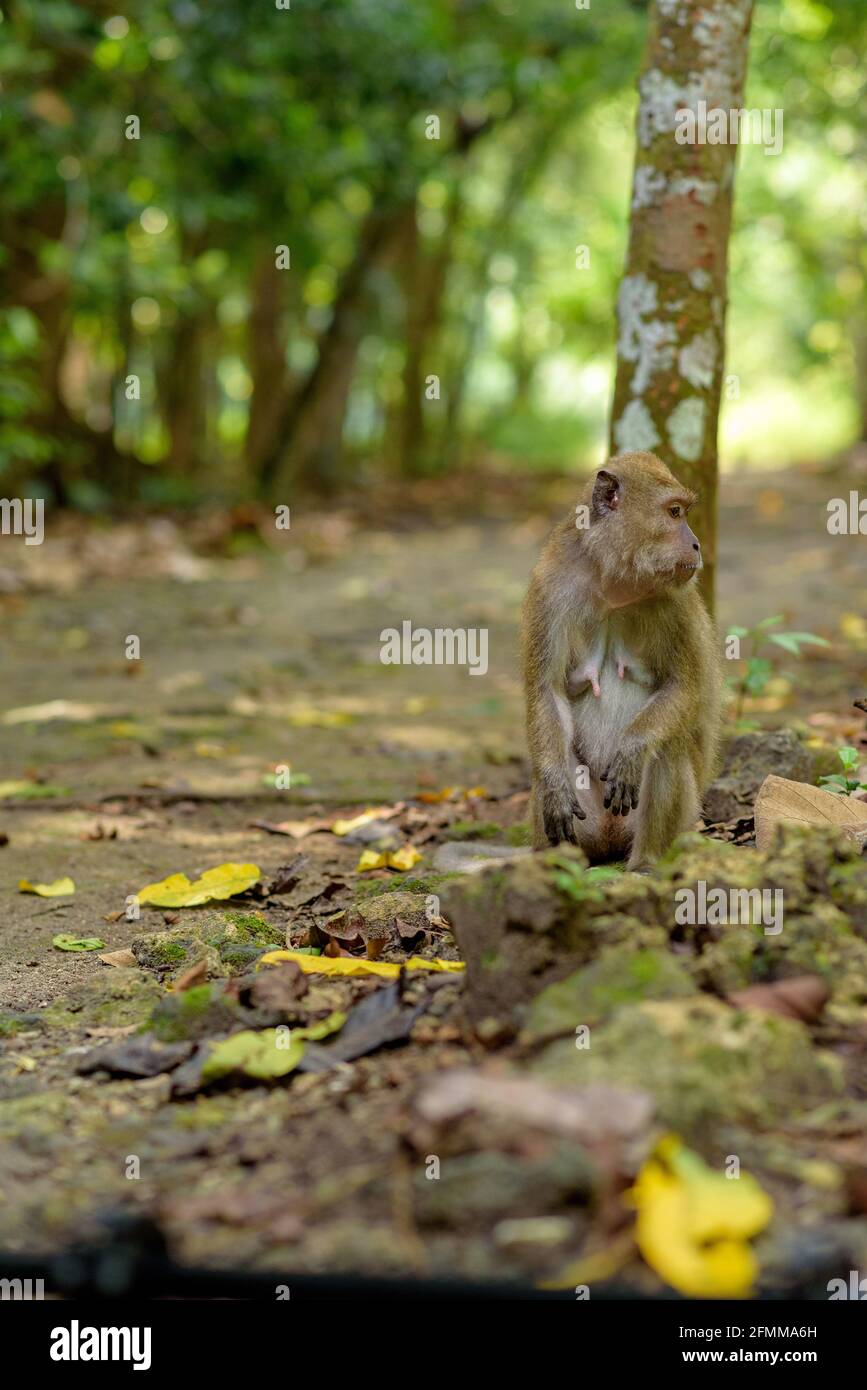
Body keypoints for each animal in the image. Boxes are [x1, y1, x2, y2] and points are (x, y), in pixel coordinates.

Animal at [522, 450, 722, 870]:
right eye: (674, 512)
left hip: (678, 821)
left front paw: (631, 750)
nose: (696, 544)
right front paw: (554, 786)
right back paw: (559, 865)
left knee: (667, 748)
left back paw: (645, 863)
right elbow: (548, 689)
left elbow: (684, 687)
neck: (614, 583)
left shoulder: (677, 603)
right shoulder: (550, 588)